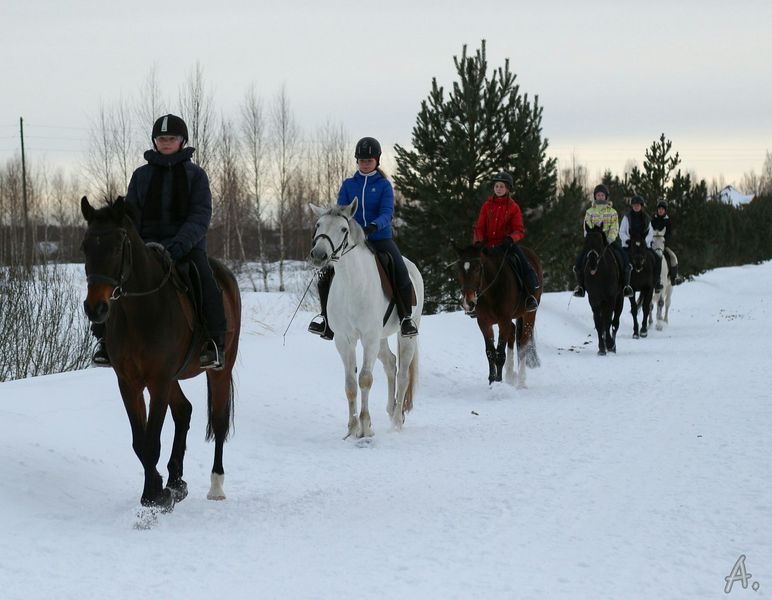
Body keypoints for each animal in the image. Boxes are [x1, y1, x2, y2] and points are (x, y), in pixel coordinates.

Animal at [80, 197, 240, 510]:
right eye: (85, 247)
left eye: (117, 248)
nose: (96, 309)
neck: (140, 310)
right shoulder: (130, 383)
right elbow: (140, 442)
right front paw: (158, 488)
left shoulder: (158, 380)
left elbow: (152, 440)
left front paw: (153, 497)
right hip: (173, 379)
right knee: (184, 411)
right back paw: (176, 480)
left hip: (218, 370)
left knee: (218, 421)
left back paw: (215, 485)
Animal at [308, 199, 426, 438]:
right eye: (318, 225)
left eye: (343, 229)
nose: (319, 255)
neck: (352, 283)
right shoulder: (344, 340)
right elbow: (350, 384)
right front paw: (352, 429)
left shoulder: (369, 338)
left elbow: (365, 379)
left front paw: (365, 427)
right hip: (381, 338)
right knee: (390, 363)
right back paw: (391, 410)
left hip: (406, 335)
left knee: (403, 375)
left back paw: (397, 422)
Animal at [452, 243, 544, 390]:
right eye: (458, 270)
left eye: (477, 269)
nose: (468, 303)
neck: (491, 288)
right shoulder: (484, 322)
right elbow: (490, 353)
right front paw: (491, 382)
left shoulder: (503, 320)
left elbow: (500, 353)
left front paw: (498, 382)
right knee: (512, 332)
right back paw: (510, 375)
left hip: (529, 314)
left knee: (523, 343)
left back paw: (521, 381)